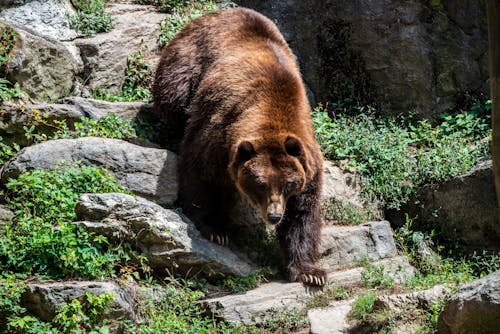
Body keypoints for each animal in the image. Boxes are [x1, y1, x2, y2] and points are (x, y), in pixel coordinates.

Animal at [150, 6, 326, 286]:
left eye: (288, 184)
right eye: (260, 184)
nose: (274, 216)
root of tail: (221, 11)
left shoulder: (306, 159)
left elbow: (303, 213)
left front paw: (309, 272)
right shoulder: (218, 134)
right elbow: (201, 175)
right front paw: (215, 229)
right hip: (187, 60)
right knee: (173, 97)